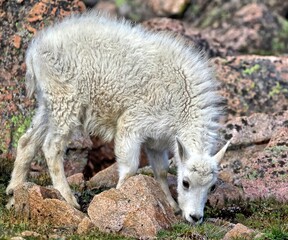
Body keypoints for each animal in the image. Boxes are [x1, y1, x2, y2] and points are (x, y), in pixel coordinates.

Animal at [6, 12, 231, 223]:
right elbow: (130, 167)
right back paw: (68, 199)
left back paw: (13, 193)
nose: (195, 217)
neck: (183, 105)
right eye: (185, 182)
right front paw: (122, 196)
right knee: (52, 147)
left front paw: (171, 205)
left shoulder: (156, 141)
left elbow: (161, 171)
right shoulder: (133, 123)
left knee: (27, 141)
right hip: (66, 100)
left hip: (49, 103)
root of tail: (34, 50)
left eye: (212, 187)